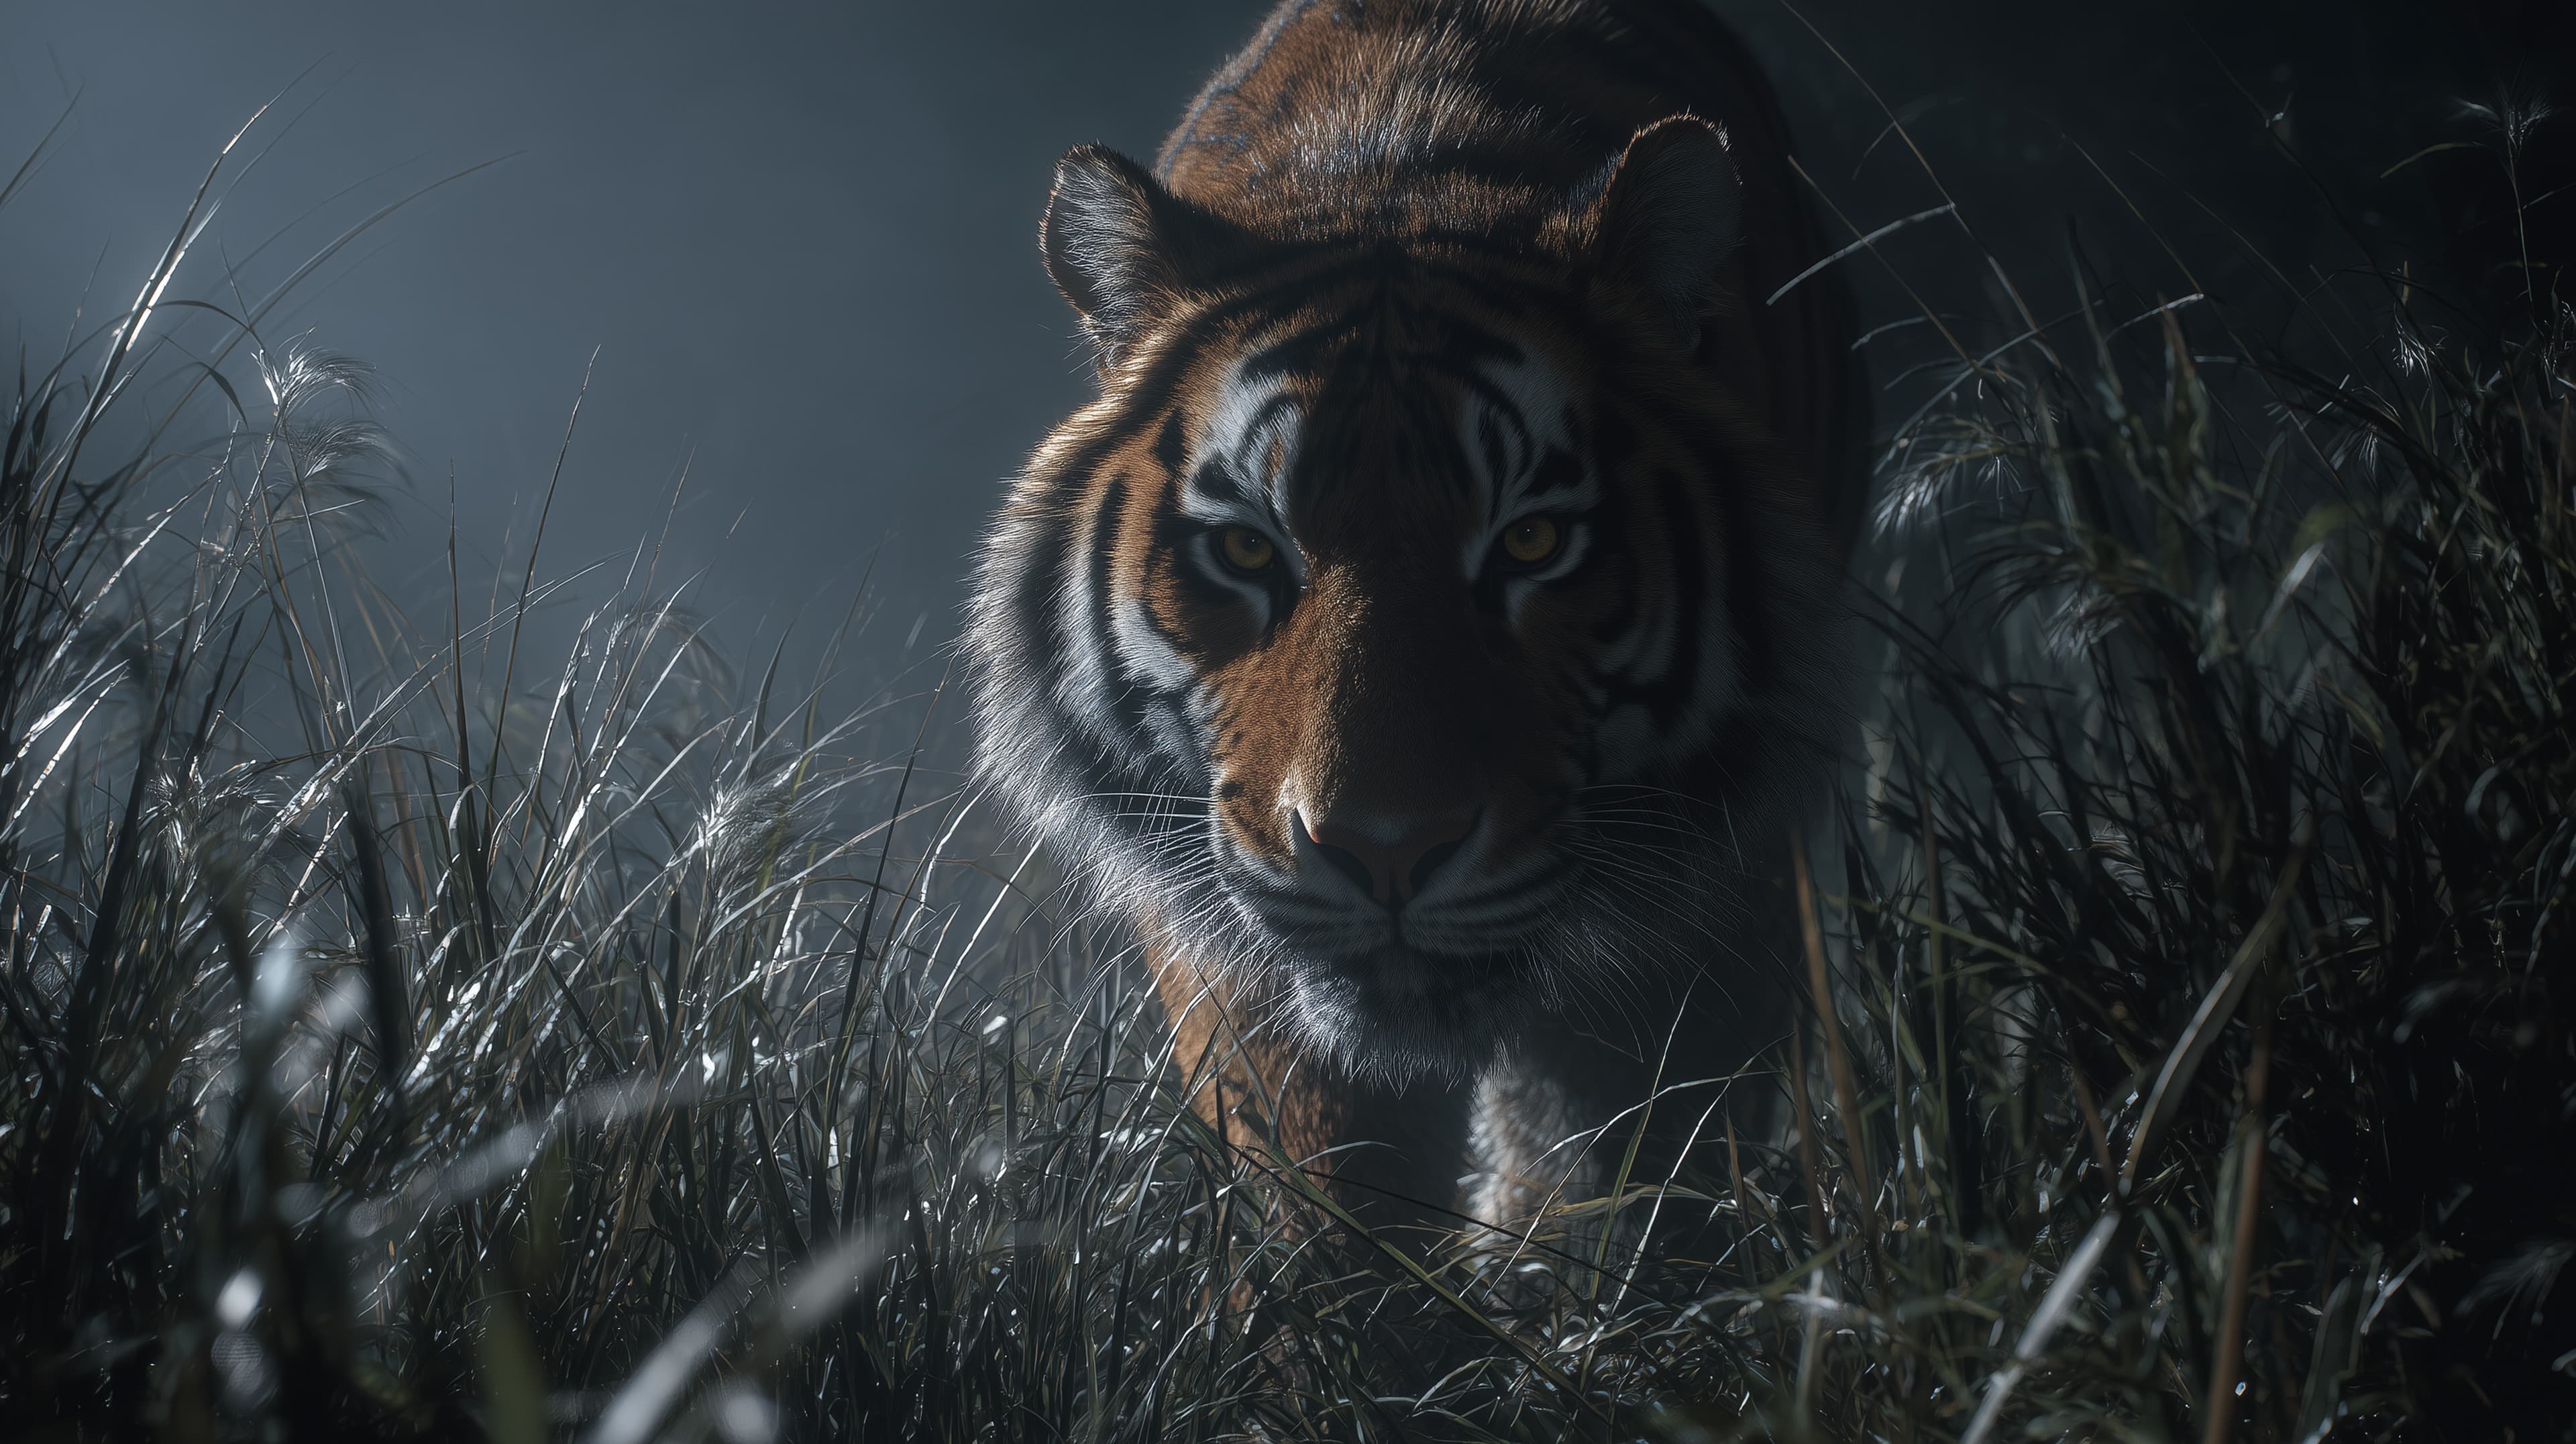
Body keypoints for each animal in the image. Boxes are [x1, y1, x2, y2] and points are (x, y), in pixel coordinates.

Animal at [964, 0, 1866, 1239]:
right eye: (1248, 549)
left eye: (1533, 543)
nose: (1381, 852)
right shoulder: (1241, 960)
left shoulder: (1718, 912)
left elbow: (1652, 1180)